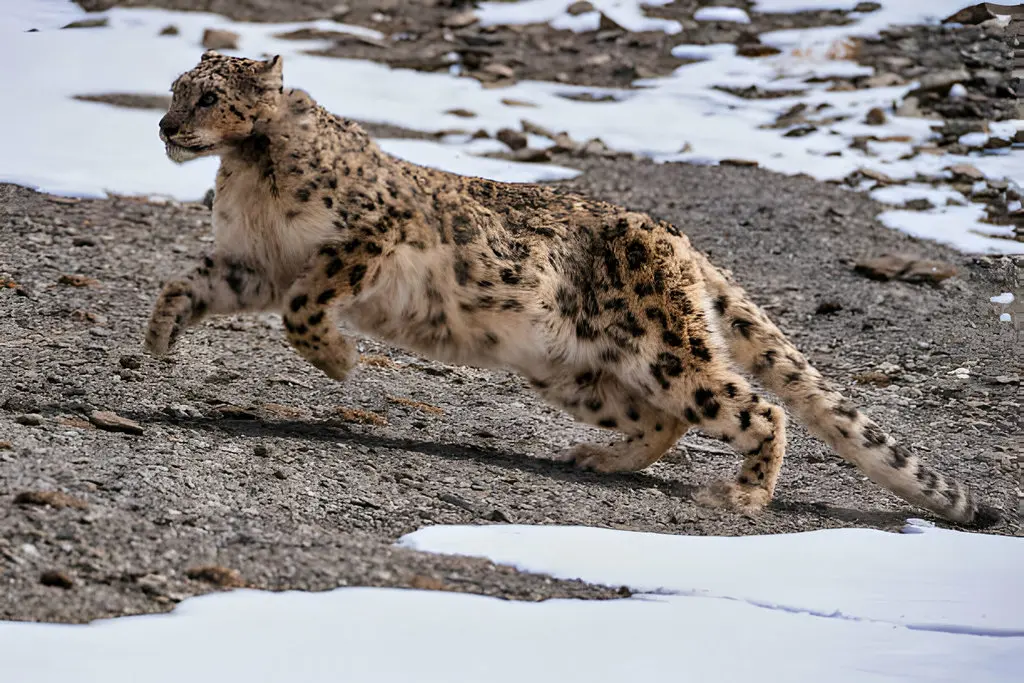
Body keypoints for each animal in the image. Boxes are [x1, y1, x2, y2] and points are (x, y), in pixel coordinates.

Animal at [146, 51, 1001, 528]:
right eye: (175, 87)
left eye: (209, 96)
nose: (164, 127)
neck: (249, 176)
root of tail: (677, 239)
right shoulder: (253, 261)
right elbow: (187, 282)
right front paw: (158, 341)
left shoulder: (366, 236)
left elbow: (305, 306)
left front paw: (337, 361)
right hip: (571, 371)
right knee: (663, 418)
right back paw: (599, 458)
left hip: (664, 349)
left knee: (758, 407)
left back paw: (739, 498)